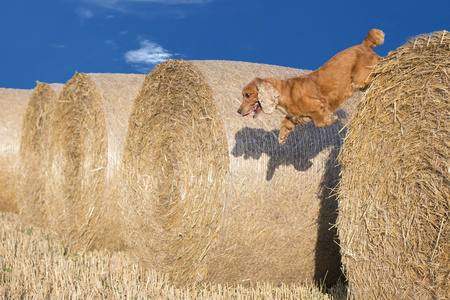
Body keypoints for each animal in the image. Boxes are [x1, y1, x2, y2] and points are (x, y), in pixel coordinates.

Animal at [237, 28, 384, 145]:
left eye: (247, 95)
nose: (238, 111)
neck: (286, 92)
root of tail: (365, 44)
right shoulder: (299, 116)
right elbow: (285, 122)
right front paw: (282, 137)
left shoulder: (318, 105)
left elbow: (319, 122)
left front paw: (331, 119)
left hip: (362, 79)